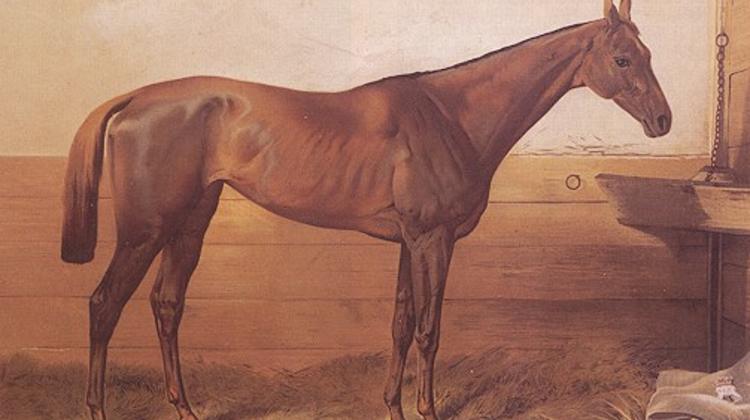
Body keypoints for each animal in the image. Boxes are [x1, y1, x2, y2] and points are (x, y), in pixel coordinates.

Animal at [61, 1, 671, 419]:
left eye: (648, 54)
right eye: (622, 59)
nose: (662, 120)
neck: (451, 115)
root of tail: (134, 99)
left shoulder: (408, 241)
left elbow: (400, 325)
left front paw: (393, 406)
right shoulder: (432, 240)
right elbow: (429, 329)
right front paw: (426, 409)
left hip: (189, 224)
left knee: (166, 306)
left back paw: (185, 407)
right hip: (145, 231)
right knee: (103, 305)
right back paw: (97, 407)